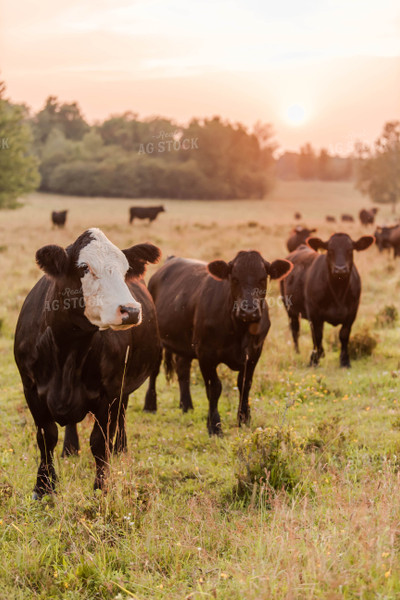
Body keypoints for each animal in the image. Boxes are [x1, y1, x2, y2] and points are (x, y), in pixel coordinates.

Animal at [14, 227, 161, 500]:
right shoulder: (31, 390)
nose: (131, 310)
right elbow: (46, 437)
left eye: (125, 270)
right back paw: (70, 448)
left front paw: (101, 488)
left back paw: (121, 448)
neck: (68, 349)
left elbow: (100, 443)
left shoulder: (109, 394)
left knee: (121, 416)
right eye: (84, 267)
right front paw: (43, 487)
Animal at [143, 251, 290, 434]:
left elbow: (245, 384)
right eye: (235, 278)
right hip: (157, 340)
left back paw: (186, 406)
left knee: (182, 369)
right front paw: (214, 426)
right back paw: (150, 406)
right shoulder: (206, 354)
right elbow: (214, 388)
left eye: (263, 278)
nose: (248, 310)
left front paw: (244, 419)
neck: (239, 331)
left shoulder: (254, 353)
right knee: (155, 371)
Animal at [282, 232, 376, 368]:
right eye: (330, 250)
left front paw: (345, 361)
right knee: (295, 330)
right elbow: (317, 335)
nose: (340, 269)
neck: (338, 293)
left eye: (350, 250)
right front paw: (314, 360)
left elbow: (344, 334)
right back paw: (298, 352)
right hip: (290, 309)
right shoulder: (314, 313)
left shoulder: (352, 312)